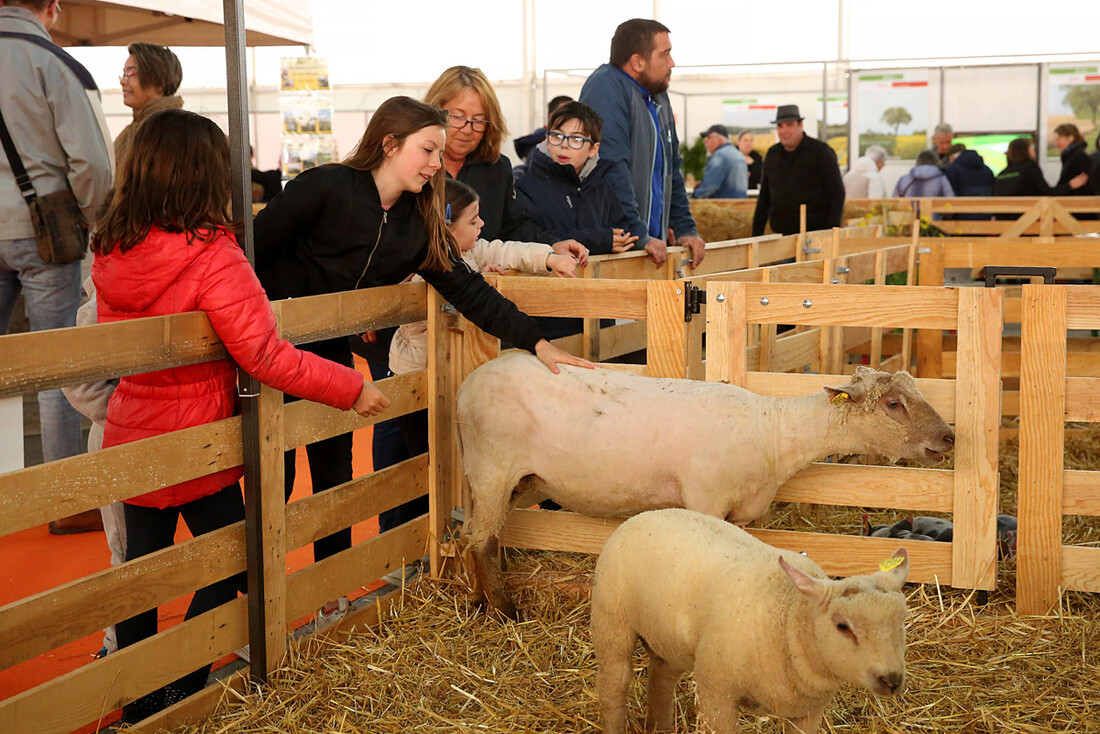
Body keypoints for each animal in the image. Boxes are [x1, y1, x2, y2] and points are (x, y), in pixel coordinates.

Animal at [455, 352, 954, 616]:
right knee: (483, 540)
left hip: (507, 480)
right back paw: (505, 612)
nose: (949, 437)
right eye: (893, 404)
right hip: (493, 467)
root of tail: (468, 381)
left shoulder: (742, 512)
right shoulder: (705, 500)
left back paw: (478, 599)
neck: (772, 430)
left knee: (470, 536)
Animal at [594, 510, 910, 734]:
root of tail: (646, 513)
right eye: (843, 626)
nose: (891, 680)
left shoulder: (808, 714)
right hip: (612, 620)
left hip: (671, 637)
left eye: (901, 622)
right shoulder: (716, 694)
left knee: (662, 675)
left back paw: (658, 726)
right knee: (614, 684)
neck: (789, 622)